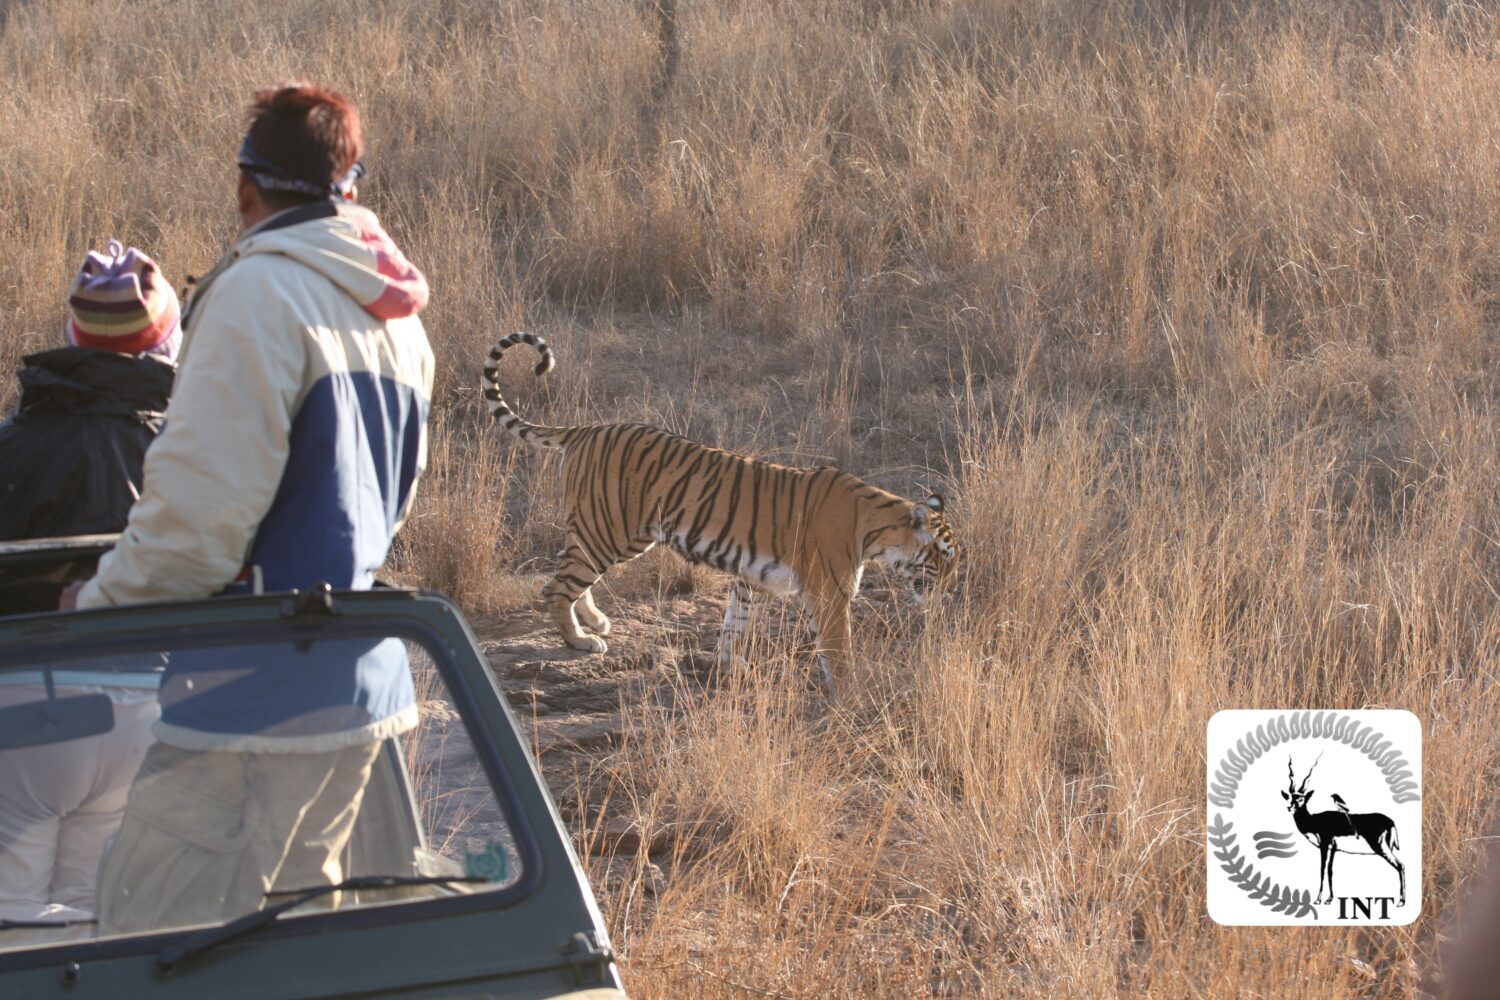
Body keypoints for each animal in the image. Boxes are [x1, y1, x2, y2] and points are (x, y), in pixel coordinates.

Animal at [486, 332, 966, 692]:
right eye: (943, 558)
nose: (951, 592)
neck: (880, 532)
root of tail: (586, 428)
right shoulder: (829, 594)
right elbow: (838, 651)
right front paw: (851, 694)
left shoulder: (752, 578)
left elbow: (735, 625)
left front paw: (730, 668)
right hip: (609, 531)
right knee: (556, 587)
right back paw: (580, 641)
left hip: (607, 532)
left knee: (567, 572)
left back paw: (595, 623)